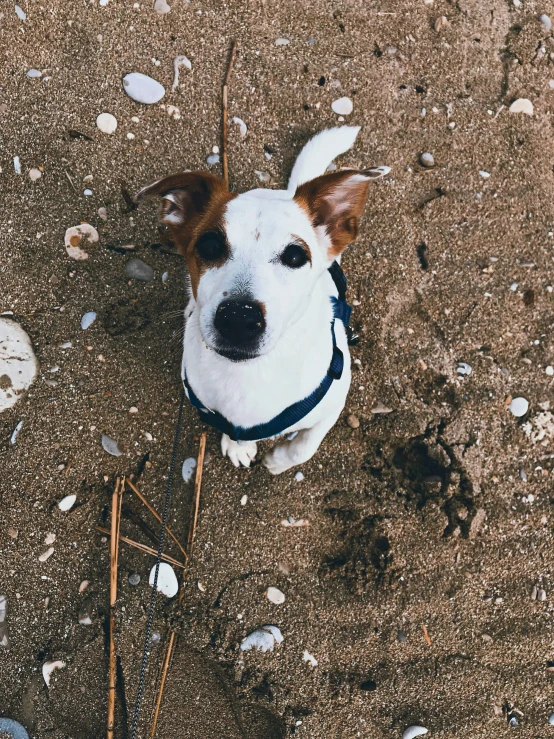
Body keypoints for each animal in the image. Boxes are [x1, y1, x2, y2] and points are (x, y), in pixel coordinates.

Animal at [137, 126, 388, 474]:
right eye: (210, 246)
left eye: (295, 256)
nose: (238, 318)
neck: (247, 375)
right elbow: (236, 431)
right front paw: (238, 445)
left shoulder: (335, 400)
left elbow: (305, 447)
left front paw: (279, 461)